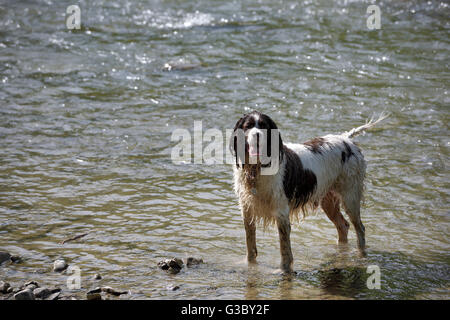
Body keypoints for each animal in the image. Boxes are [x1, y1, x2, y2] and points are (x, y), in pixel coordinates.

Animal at [230, 111, 388, 274]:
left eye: (263, 126)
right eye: (248, 126)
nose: (257, 135)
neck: (256, 169)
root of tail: (346, 139)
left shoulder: (281, 213)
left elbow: (284, 248)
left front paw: (284, 270)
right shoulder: (247, 210)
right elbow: (250, 244)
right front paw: (249, 265)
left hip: (350, 196)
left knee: (360, 228)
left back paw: (361, 255)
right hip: (328, 201)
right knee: (343, 225)